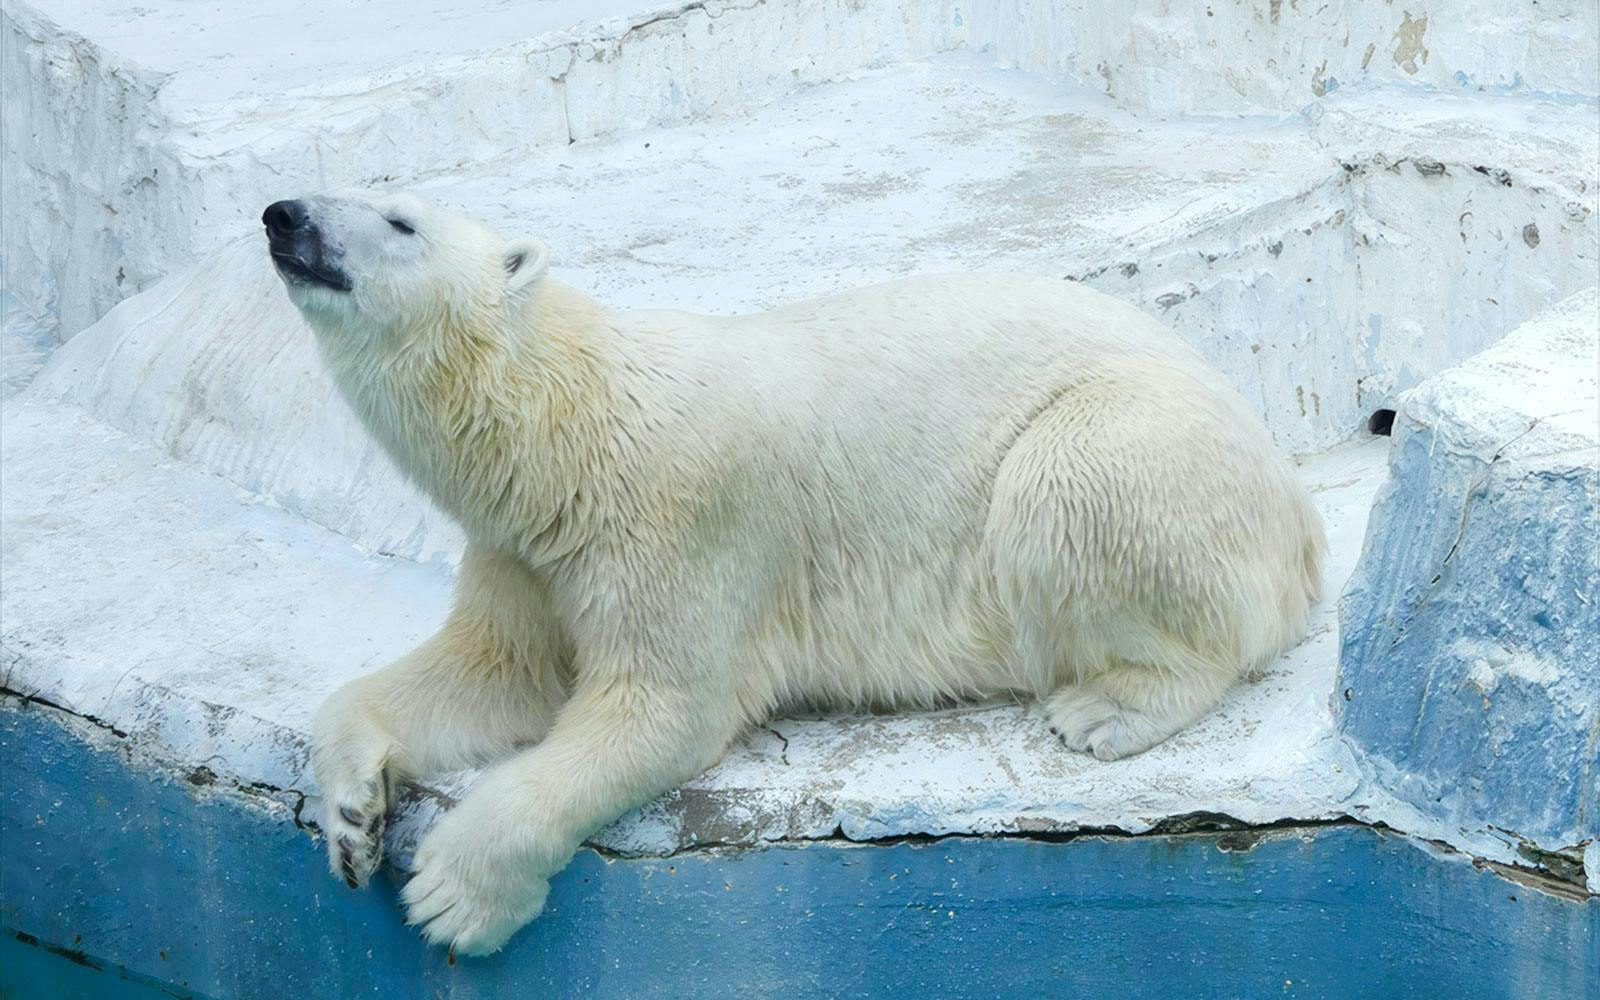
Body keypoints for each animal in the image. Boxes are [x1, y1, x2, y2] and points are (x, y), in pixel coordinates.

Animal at [264, 189, 1326, 955]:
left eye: (400, 219)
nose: (286, 215)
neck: (568, 426)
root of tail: (1301, 513)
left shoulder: (676, 521)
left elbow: (657, 708)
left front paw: (451, 894)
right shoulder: (528, 554)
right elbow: (494, 673)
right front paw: (352, 817)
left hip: (1133, 438)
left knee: (1070, 488)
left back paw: (1107, 708)